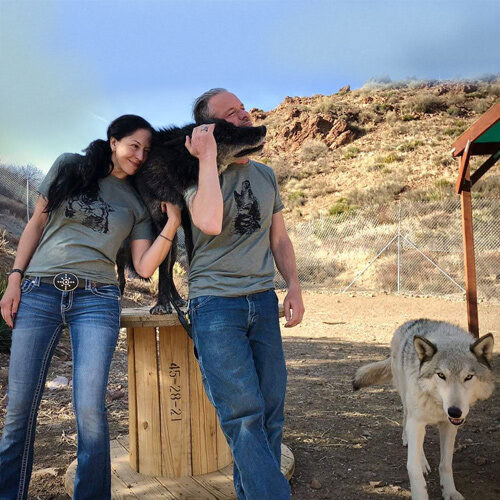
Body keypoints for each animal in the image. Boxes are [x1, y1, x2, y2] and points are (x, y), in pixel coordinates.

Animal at [117, 119, 268, 316]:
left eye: (232, 126)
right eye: (227, 132)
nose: (263, 128)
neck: (178, 167)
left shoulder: (189, 227)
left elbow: (187, 262)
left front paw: (188, 300)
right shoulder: (161, 222)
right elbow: (161, 270)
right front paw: (161, 304)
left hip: (173, 245)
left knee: (170, 270)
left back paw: (176, 298)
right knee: (123, 273)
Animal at [354, 320, 494, 500]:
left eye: (468, 377)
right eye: (441, 375)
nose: (454, 411)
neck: (437, 403)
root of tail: (410, 322)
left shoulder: (449, 426)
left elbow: (446, 464)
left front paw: (450, 491)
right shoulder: (416, 422)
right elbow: (412, 467)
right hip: (407, 400)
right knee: (406, 420)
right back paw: (416, 453)